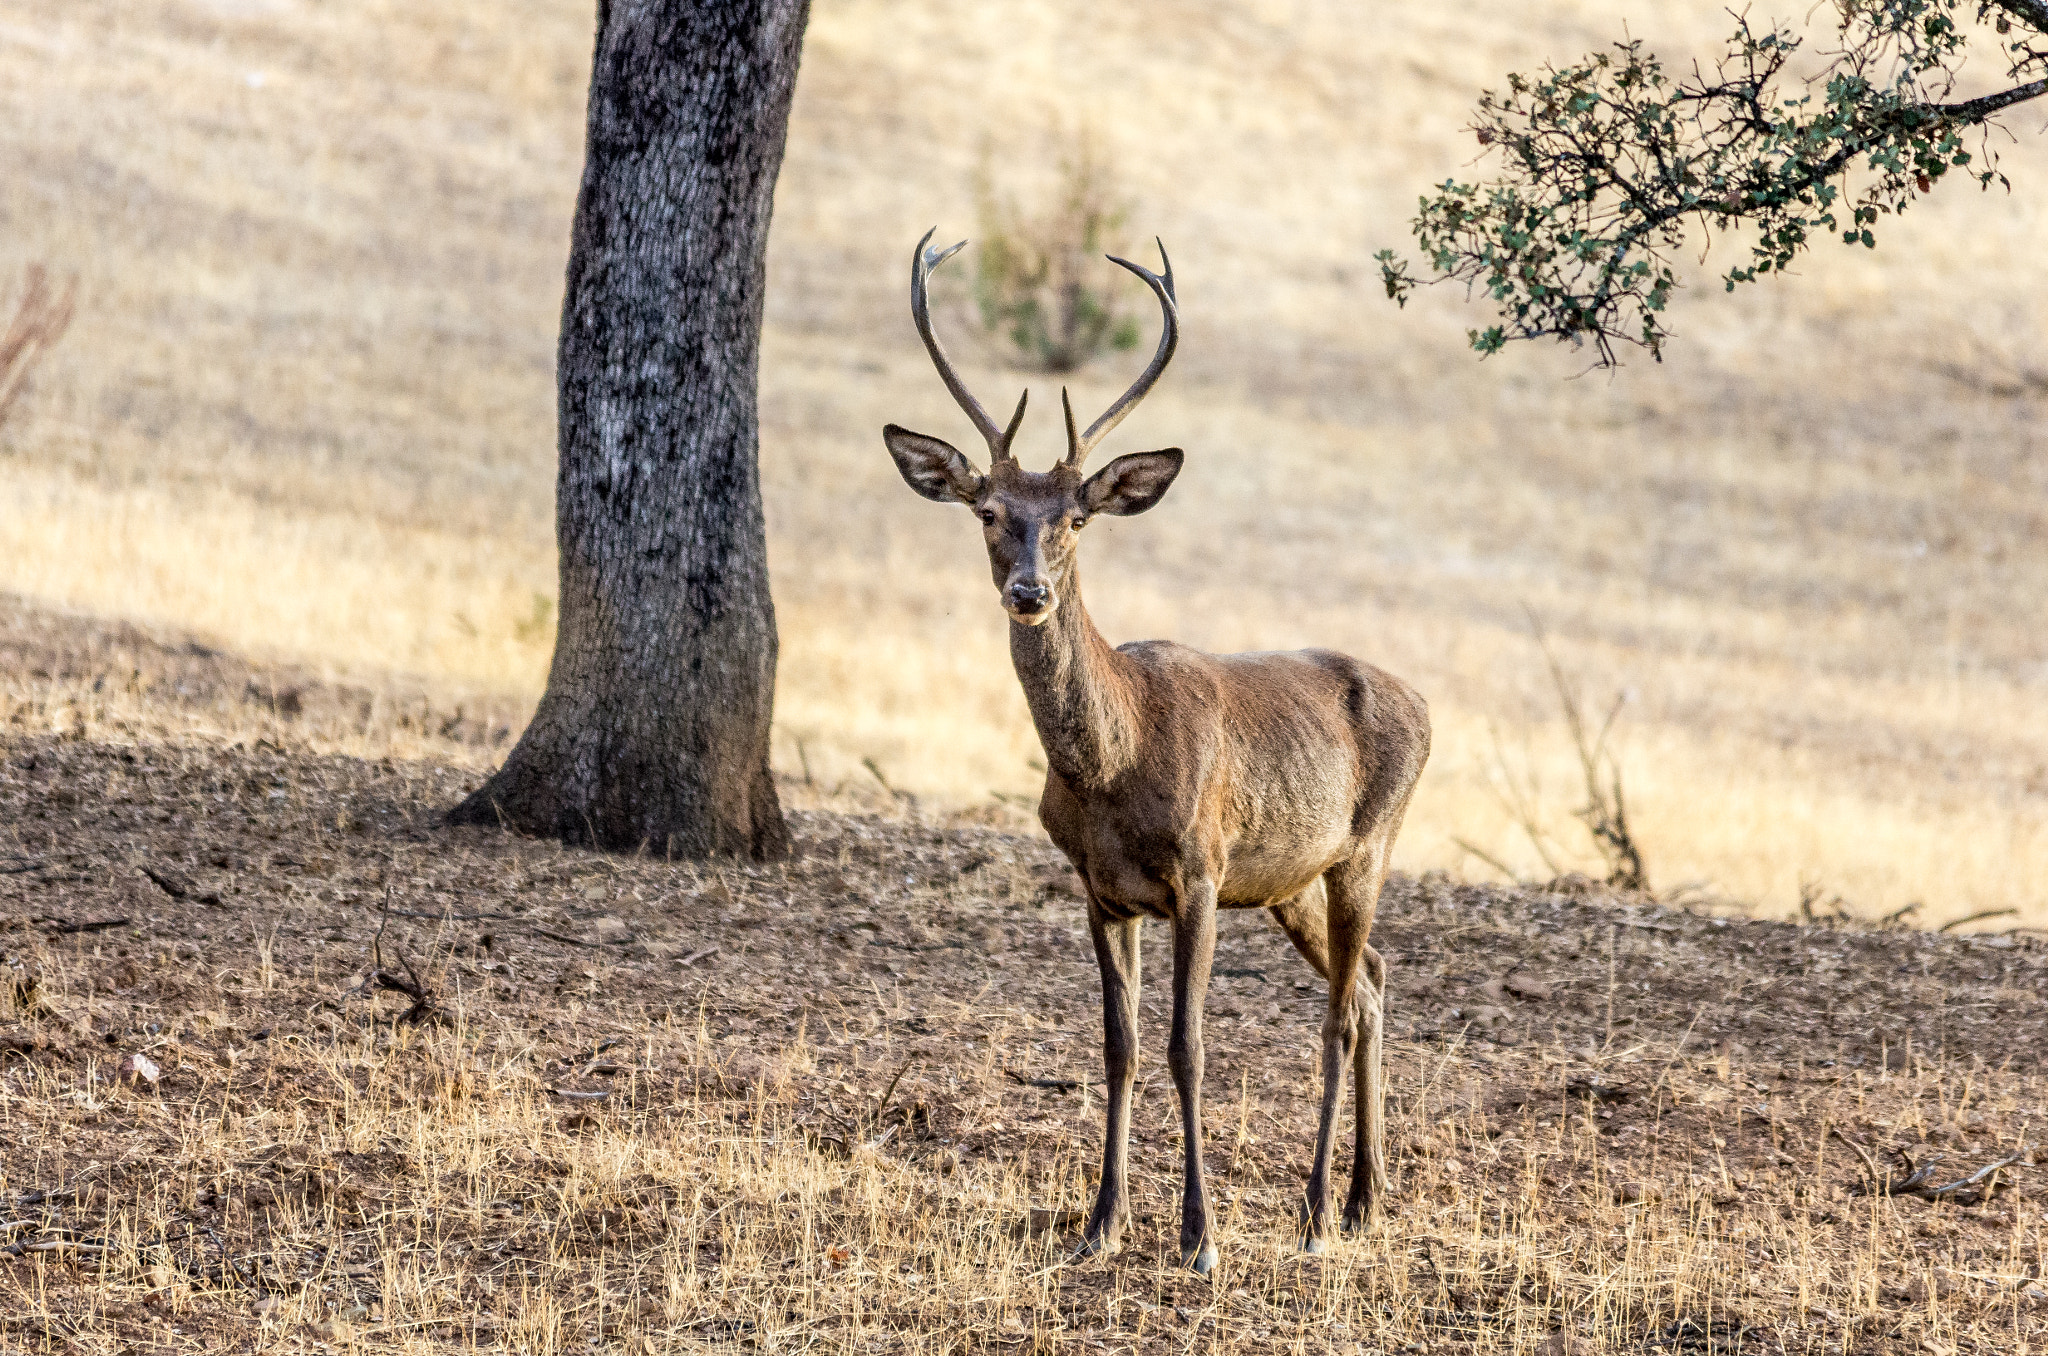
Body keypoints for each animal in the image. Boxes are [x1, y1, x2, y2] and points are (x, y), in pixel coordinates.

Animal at [884, 228, 1441, 1278]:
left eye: (1076, 518)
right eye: (989, 512)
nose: (1028, 591)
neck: (1113, 767)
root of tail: (1426, 704)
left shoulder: (1199, 872)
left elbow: (1187, 1044)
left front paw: (1200, 1235)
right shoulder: (1101, 889)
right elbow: (1121, 1046)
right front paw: (1099, 1221)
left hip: (1366, 847)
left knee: (1339, 1012)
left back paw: (1314, 1215)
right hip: (1290, 879)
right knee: (1376, 982)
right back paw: (1365, 1199)